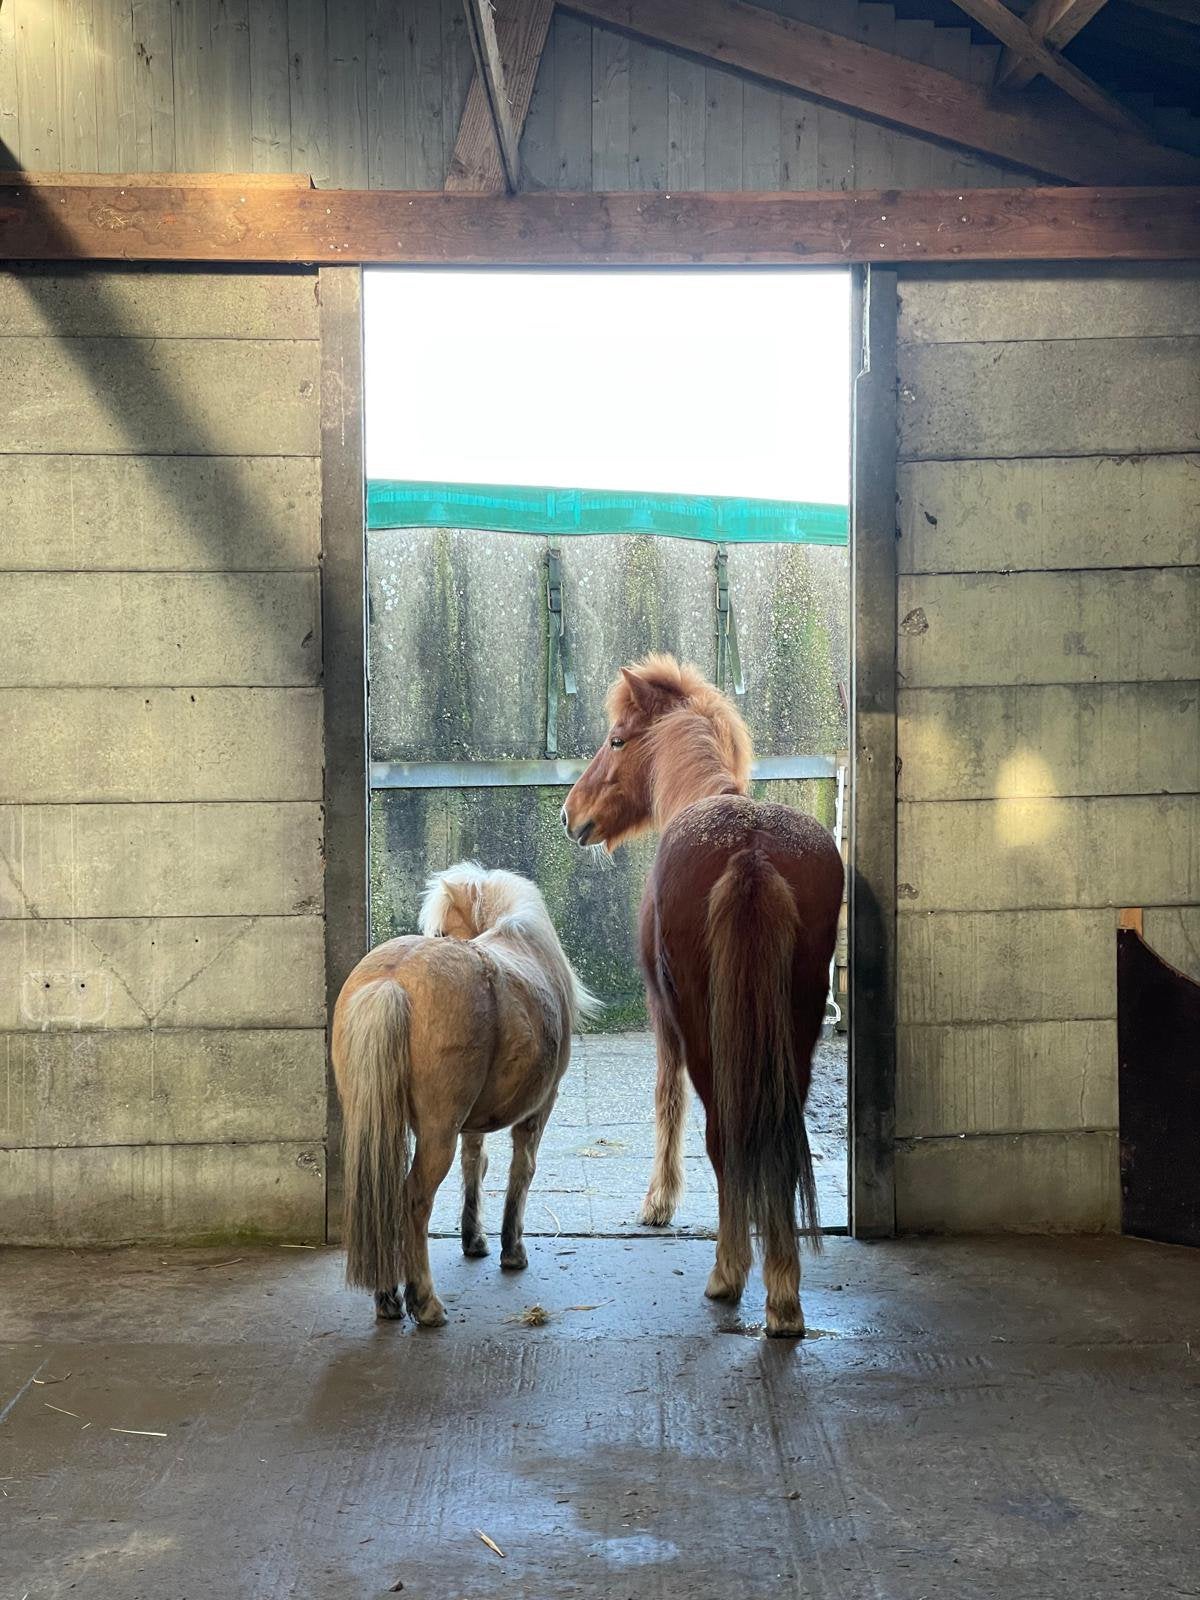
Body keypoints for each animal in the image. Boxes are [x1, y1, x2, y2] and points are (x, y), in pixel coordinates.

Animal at [333, 862, 598, 1325]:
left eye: (443, 930)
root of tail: (391, 982)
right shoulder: (538, 1110)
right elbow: (521, 1170)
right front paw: (513, 1251)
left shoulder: (473, 1121)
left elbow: (475, 1164)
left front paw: (474, 1239)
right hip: (436, 1131)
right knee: (413, 1199)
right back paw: (425, 1303)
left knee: (380, 1196)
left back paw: (388, 1299)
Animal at [562, 655, 843, 1337]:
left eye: (616, 739)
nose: (570, 812)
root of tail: (751, 854)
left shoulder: (663, 1013)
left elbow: (667, 1101)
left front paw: (658, 1203)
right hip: (796, 1026)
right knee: (774, 1132)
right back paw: (783, 1293)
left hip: (705, 1024)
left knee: (725, 1134)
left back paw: (731, 1274)